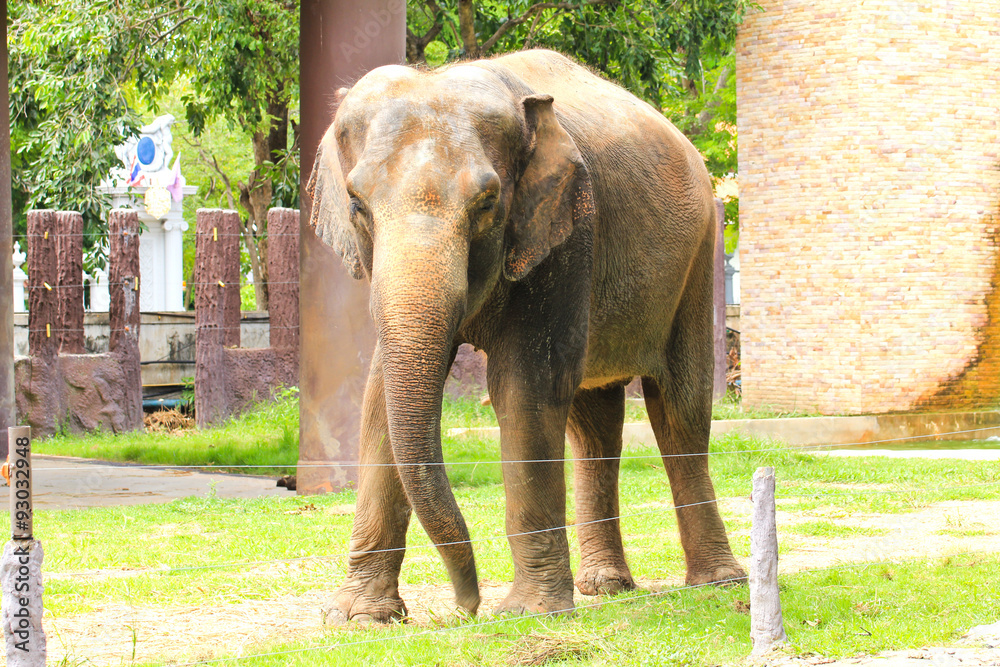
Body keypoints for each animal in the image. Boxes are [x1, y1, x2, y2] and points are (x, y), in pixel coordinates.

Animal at [308, 49, 746, 623]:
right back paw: (606, 586)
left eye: (487, 202)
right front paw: (361, 618)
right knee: (593, 421)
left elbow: (525, 386)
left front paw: (529, 613)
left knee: (680, 411)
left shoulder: (566, 233)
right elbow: (379, 396)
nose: (466, 607)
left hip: (696, 260)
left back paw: (718, 583)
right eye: (357, 203)